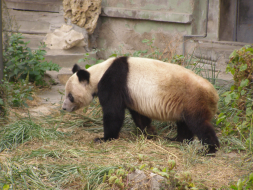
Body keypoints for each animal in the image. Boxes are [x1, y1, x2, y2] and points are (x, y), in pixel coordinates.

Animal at [61, 56, 219, 153]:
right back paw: (177, 140)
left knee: (198, 124)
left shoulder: (114, 81)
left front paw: (104, 138)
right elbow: (139, 115)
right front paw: (150, 133)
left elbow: (113, 112)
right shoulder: (131, 95)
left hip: (193, 99)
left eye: (70, 96)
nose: (64, 108)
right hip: (183, 102)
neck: (98, 73)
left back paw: (209, 149)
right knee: (184, 123)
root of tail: (214, 94)